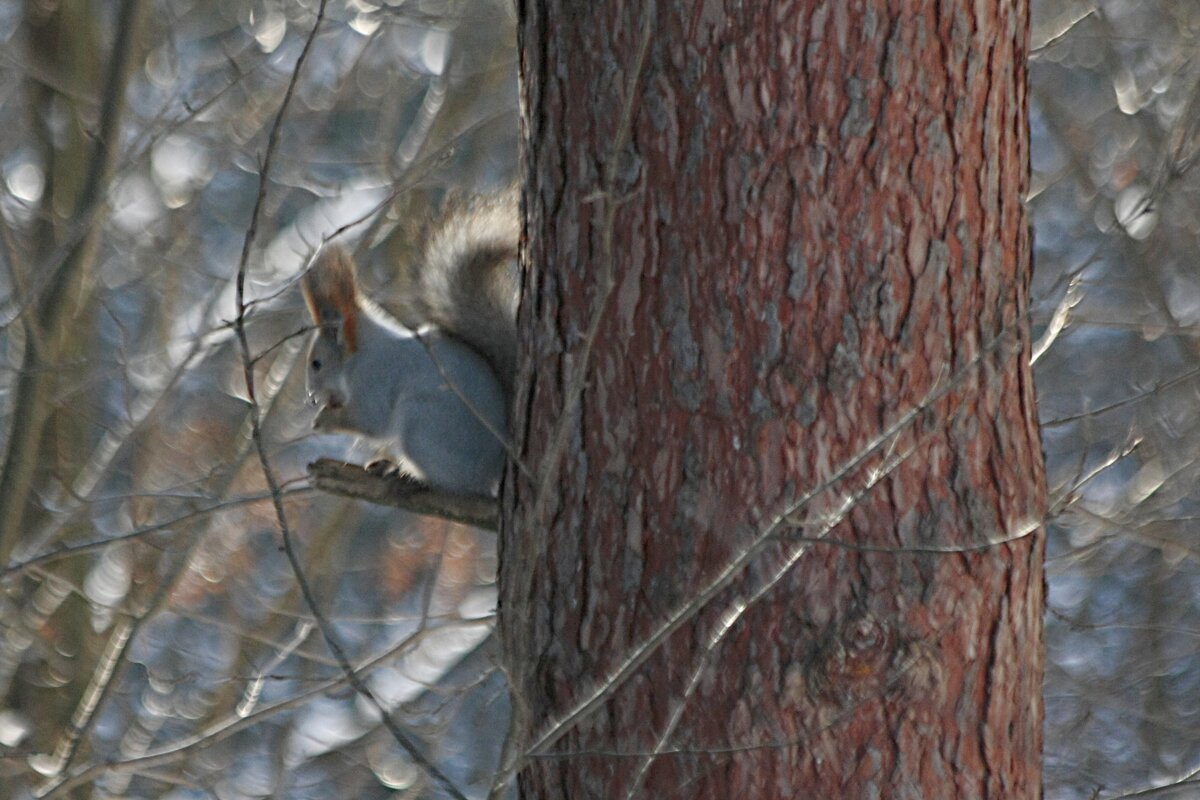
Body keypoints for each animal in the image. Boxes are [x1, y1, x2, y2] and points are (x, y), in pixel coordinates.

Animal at [298, 191, 516, 496]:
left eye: (317, 363)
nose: (310, 396)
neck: (360, 354)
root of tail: (488, 478)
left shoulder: (375, 380)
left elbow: (371, 421)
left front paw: (324, 420)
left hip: (420, 427)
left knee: (448, 483)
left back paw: (408, 474)